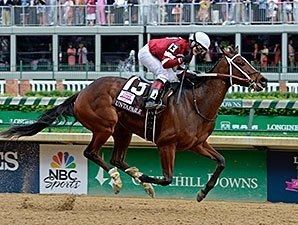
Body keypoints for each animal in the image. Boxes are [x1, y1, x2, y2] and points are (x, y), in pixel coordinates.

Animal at [0, 47, 268, 200]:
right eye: (241, 63)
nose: (263, 80)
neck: (196, 102)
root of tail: (83, 91)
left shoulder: (197, 144)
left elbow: (221, 162)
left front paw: (202, 192)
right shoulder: (166, 144)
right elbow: (167, 178)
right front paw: (147, 178)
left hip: (123, 130)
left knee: (116, 158)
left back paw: (135, 178)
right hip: (105, 125)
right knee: (92, 153)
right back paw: (119, 179)